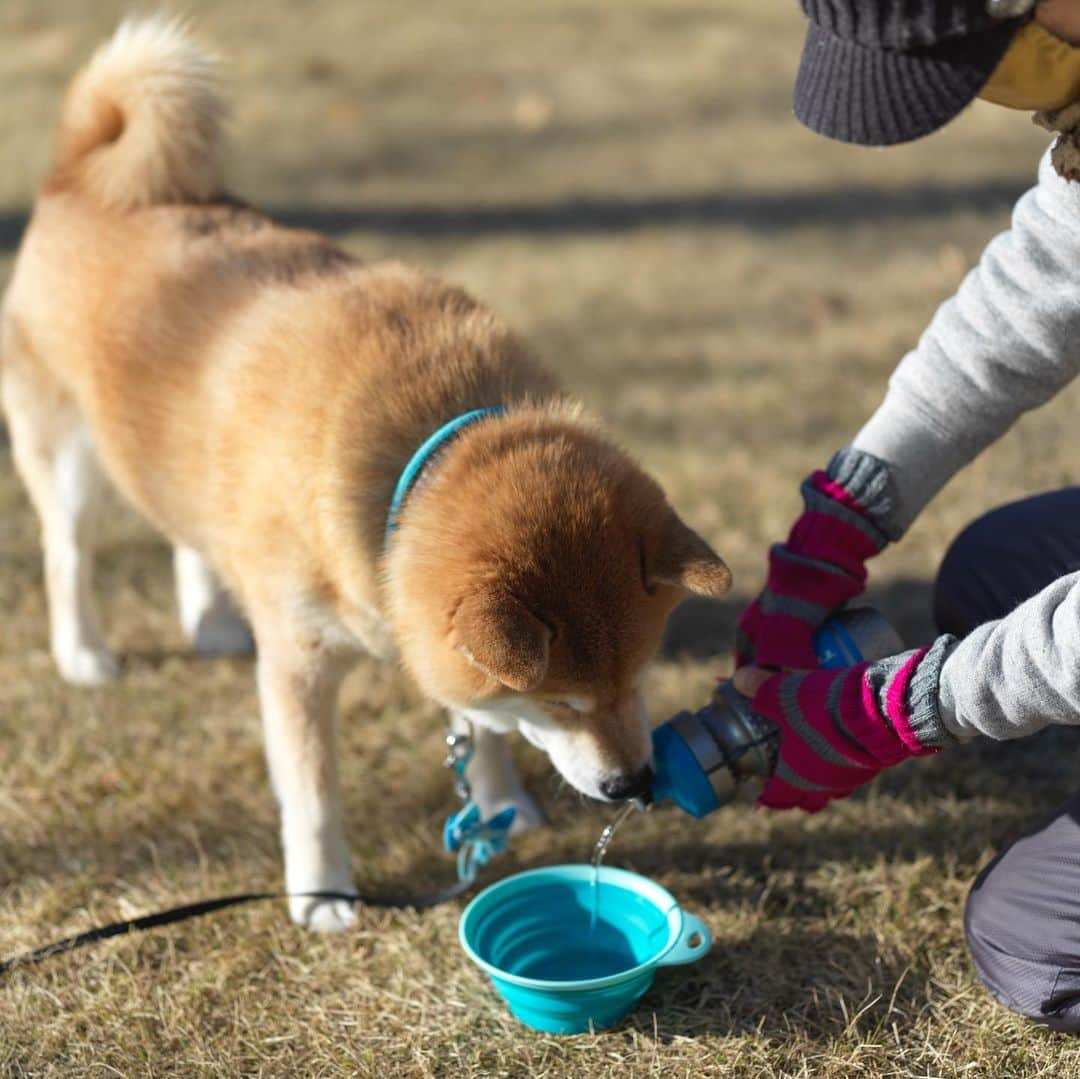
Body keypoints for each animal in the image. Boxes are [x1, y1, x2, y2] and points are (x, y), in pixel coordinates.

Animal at [0, 19, 730, 928]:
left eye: (637, 675)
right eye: (563, 700)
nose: (634, 781)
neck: (424, 452)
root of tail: (76, 177)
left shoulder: (429, 622)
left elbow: (479, 725)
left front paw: (497, 805)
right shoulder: (300, 661)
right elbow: (313, 790)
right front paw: (323, 893)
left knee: (186, 532)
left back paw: (211, 620)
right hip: (65, 456)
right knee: (68, 554)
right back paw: (85, 655)